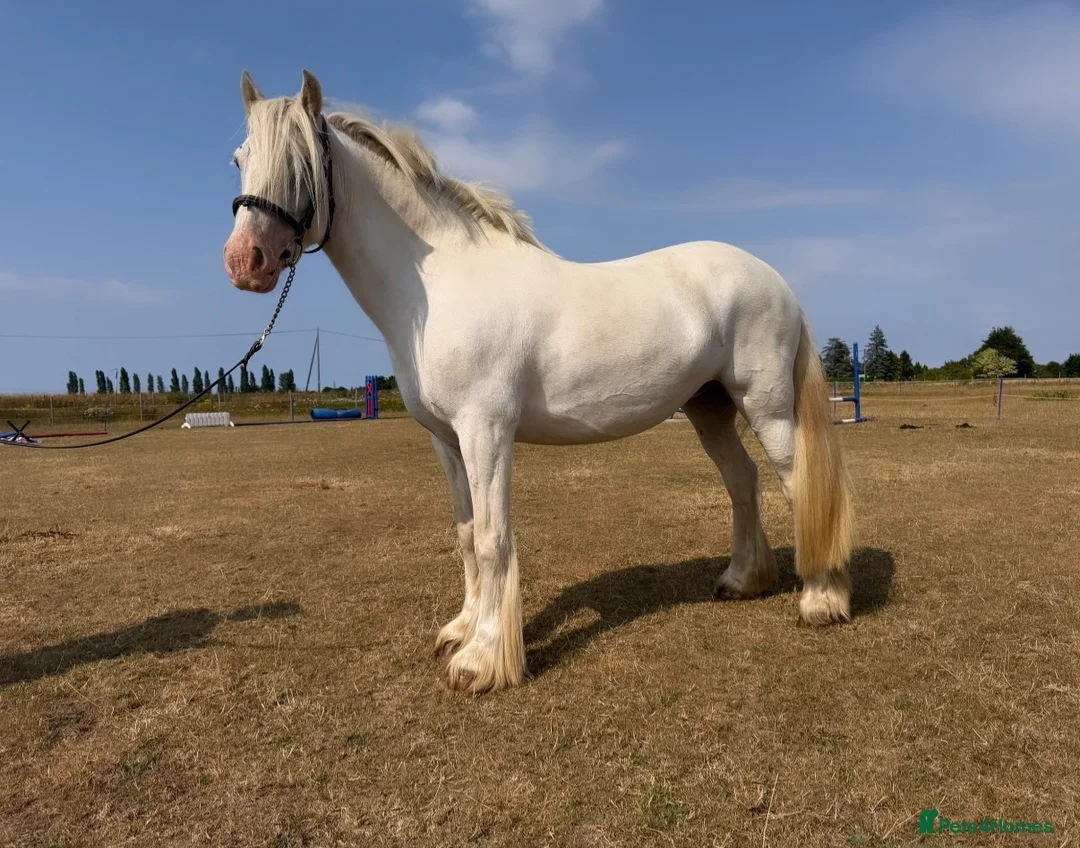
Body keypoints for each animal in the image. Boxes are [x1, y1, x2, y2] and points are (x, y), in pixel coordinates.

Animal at [223, 71, 855, 694]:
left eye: (301, 163)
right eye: (240, 157)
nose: (244, 261)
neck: (438, 283)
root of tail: (776, 281)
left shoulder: (486, 432)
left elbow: (492, 538)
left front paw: (482, 662)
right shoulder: (446, 440)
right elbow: (466, 534)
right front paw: (461, 631)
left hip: (765, 406)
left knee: (799, 484)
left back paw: (821, 600)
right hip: (709, 408)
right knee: (743, 480)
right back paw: (741, 580)